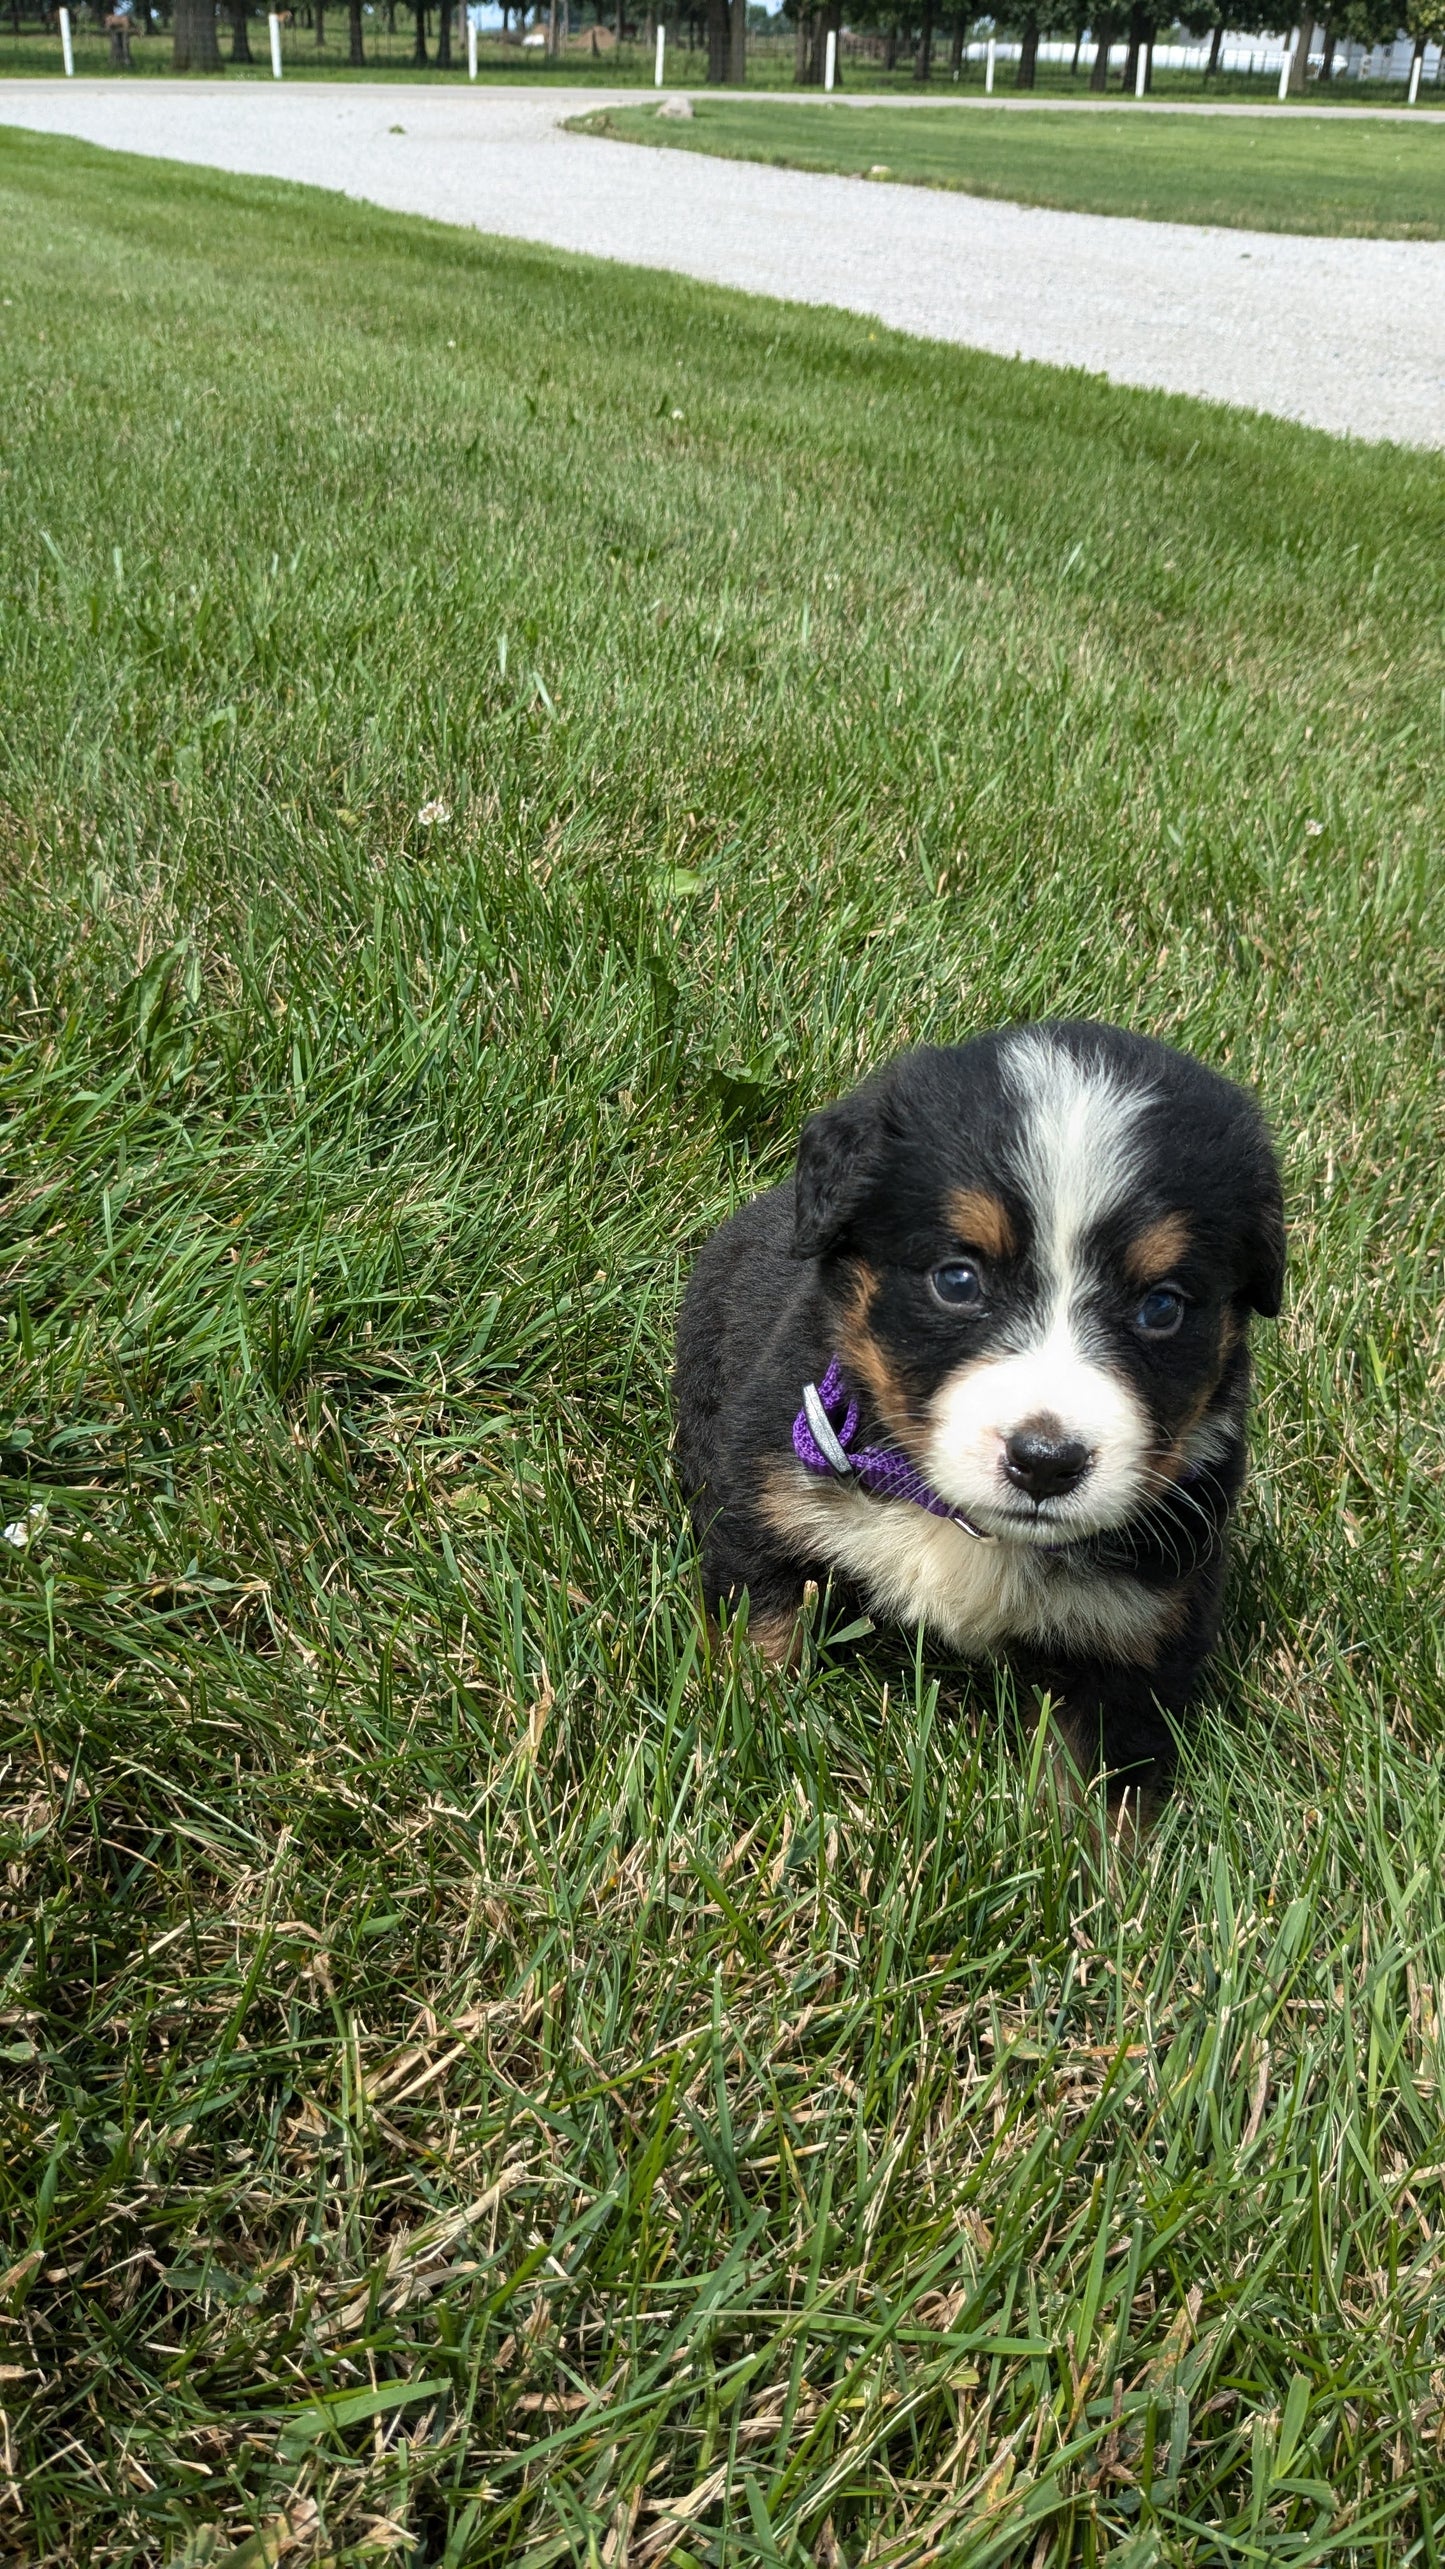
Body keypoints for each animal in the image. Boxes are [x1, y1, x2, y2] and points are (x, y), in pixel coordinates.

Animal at [668, 1017, 1275, 1788]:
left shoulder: (1139, 1636)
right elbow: (759, 1635)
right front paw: (741, 1740)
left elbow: (1099, 1786)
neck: (970, 1529)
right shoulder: (767, 1495)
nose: (1045, 1462)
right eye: (957, 1280)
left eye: (1161, 1307)